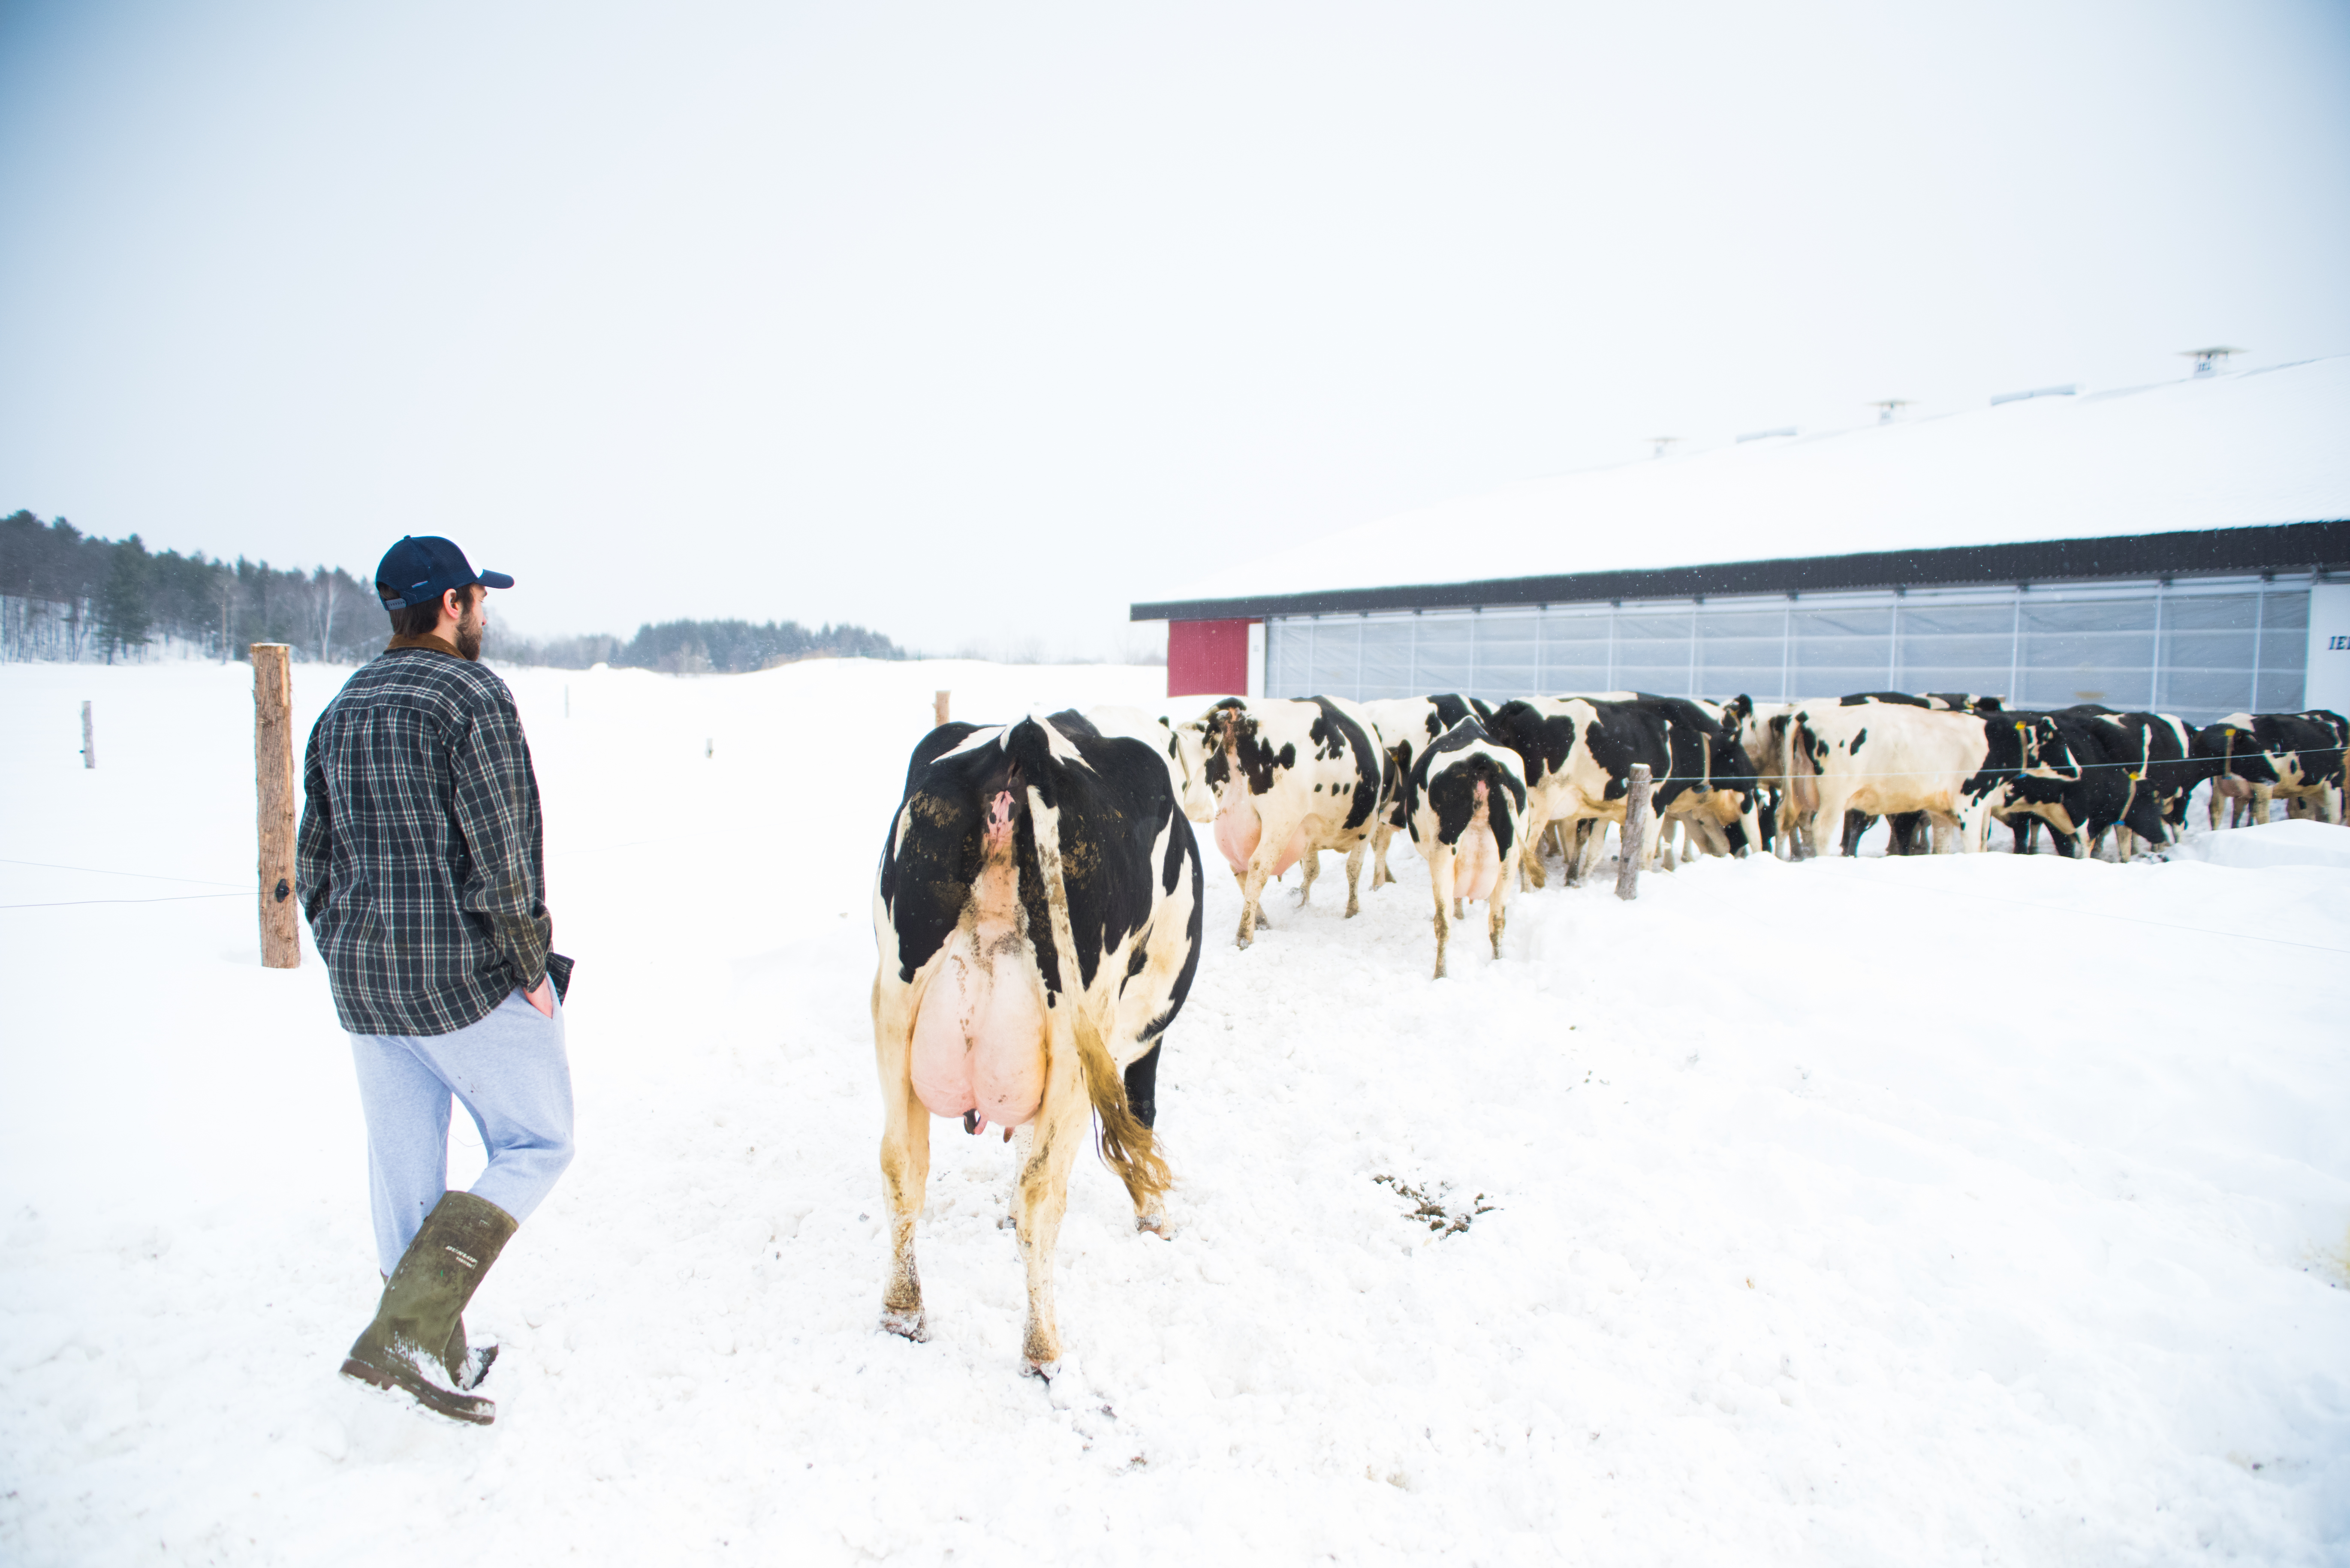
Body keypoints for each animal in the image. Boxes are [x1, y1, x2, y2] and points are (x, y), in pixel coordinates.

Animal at [871, 713, 1203, 1374]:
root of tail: (1022, 740)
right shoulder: (1145, 1032)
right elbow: (1144, 1112)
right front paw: (1154, 1217)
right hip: (1079, 1038)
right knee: (1042, 1195)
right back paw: (1044, 1349)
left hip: (894, 1003)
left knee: (901, 1165)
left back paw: (903, 1313)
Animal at [1196, 696, 1387, 947]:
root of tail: (1241, 711)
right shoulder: (1367, 827)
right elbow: (1353, 869)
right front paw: (1352, 911)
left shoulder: (1309, 830)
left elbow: (1313, 869)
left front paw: (1301, 898)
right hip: (1281, 819)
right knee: (1258, 867)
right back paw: (1244, 936)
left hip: (1236, 815)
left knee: (1239, 868)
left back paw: (1261, 921)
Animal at [1403, 719, 1528, 978]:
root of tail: (1480, 762)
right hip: (1510, 852)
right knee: (1497, 918)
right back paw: (1498, 962)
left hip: (1443, 851)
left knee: (1443, 921)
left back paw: (1440, 975)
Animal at [1782, 702, 2074, 856]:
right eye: (2058, 742)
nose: (2078, 770)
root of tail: (1809, 714)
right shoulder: (1970, 805)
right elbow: (1972, 846)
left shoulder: (1941, 810)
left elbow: (1943, 846)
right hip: (1834, 798)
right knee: (1821, 829)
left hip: (1796, 793)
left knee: (1786, 822)